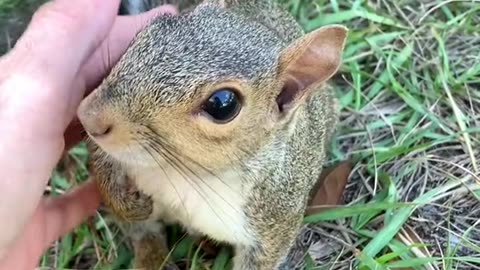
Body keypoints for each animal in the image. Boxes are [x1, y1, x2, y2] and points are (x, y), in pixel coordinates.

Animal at [78, 1, 348, 268]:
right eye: (147, 32)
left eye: (222, 104)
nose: (88, 116)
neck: (187, 174)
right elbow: (101, 163)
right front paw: (126, 202)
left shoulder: (274, 224)